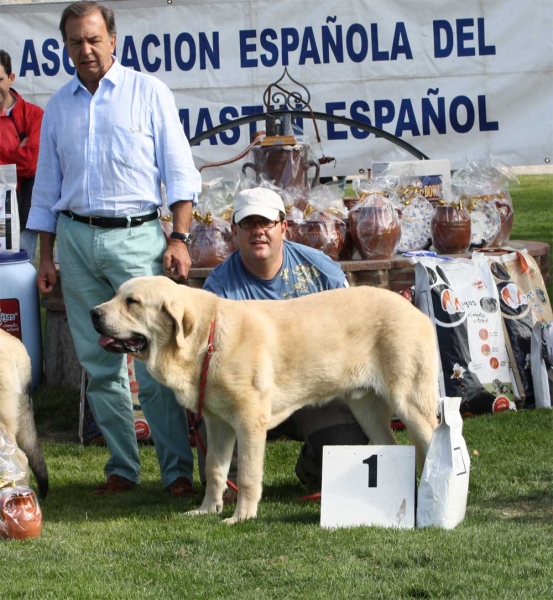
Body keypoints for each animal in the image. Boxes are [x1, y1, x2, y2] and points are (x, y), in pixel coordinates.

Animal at [90, 274, 438, 524]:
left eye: (132, 302)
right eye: (117, 295)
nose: (93, 312)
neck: (206, 341)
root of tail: (414, 309)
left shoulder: (249, 422)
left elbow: (246, 474)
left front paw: (242, 516)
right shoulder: (218, 425)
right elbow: (215, 470)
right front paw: (207, 510)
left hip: (410, 403)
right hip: (368, 410)